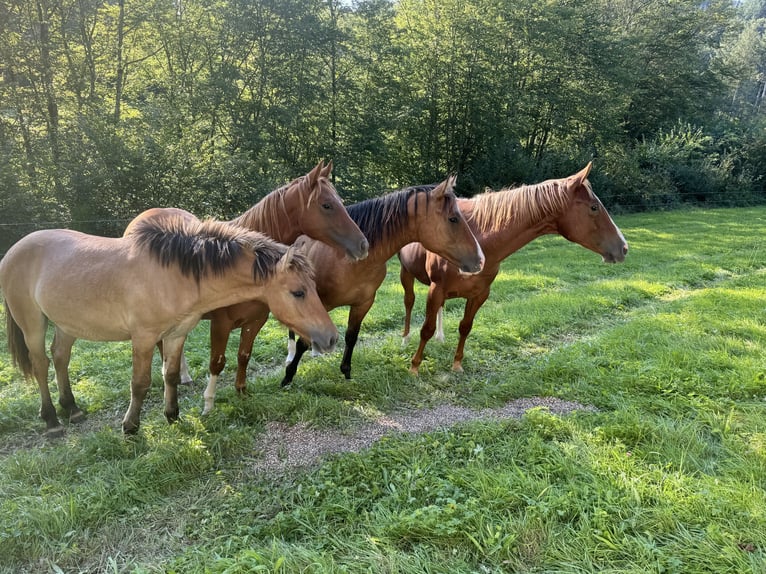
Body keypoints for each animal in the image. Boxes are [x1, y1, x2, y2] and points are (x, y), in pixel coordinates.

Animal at [0, 216, 338, 436]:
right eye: (298, 292)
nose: (332, 338)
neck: (175, 275)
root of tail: (13, 250)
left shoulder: (177, 334)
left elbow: (171, 375)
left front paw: (173, 417)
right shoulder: (144, 338)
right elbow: (140, 383)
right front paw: (131, 426)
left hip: (66, 324)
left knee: (60, 358)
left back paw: (72, 409)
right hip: (32, 323)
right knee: (41, 364)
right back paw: (52, 421)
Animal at [124, 160, 368, 390]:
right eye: (327, 205)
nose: (363, 244)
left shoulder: (256, 320)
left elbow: (244, 356)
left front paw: (241, 391)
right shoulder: (220, 324)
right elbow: (217, 362)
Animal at [276, 178, 486, 394]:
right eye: (453, 219)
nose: (480, 260)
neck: (348, 259)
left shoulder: (363, 304)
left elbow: (351, 337)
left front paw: (346, 373)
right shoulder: (316, 301)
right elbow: (302, 342)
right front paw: (288, 376)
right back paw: (291, 355)